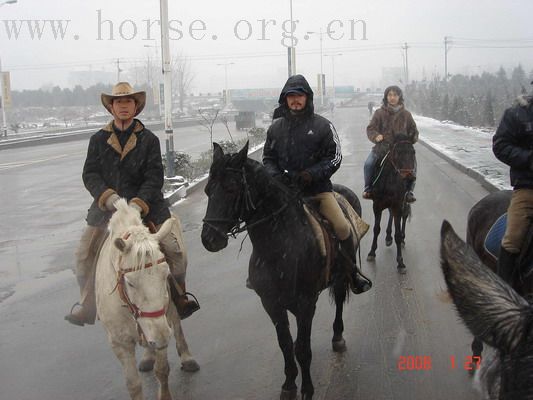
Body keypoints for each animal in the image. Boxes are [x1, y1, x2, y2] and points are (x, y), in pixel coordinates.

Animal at [95, 200, 197, 400]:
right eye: (130, 282)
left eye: (166, 274)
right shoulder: (120, 343)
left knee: (177, 324)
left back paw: (187, 357)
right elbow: (133, 384)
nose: (161, 336)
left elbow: (162, 370)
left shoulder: (161, 324)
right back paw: (148, 357)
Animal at [200, 142, 366, 398]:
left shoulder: (306, 304)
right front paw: (289, 384)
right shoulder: (272, 304)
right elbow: (286, 345)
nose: (209, 239)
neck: (279, 247)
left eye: (230, 189)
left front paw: (307, 390)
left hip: (340, 276)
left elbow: (303, 349)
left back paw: (338, 337)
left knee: (339, 300)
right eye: (208, 190)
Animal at [366, 134, 416, 272]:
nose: (410, 177)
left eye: (413, 152)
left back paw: (402, 238)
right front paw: (372, 252)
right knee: (390, 215)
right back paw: (388, 237)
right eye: (397, 152)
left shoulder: (398, 205)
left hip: (403, 203)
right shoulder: (377, 206)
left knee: (403, 216)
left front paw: (400, 262)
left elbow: (397, 234)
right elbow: (376, 229)